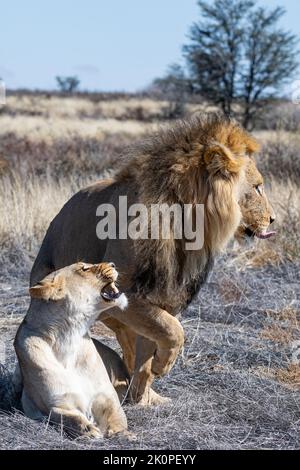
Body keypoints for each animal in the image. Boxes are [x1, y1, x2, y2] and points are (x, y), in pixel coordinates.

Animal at [14, 260, 129, 436]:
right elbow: (69, 418)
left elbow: (117, 416)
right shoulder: (56, 404)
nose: (113, 264)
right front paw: (89, 430)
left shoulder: (107, 396)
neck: (69, 337)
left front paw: (122, 434)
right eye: (84, 268)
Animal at [29, 113, 274, 404]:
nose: (273, 220)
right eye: (257, 187)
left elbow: (155, 340)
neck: (189, 224)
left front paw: (147, 396)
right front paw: (162, 366)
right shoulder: (125, 293)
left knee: (130, 344)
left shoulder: (160, 295)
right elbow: (174, 330)